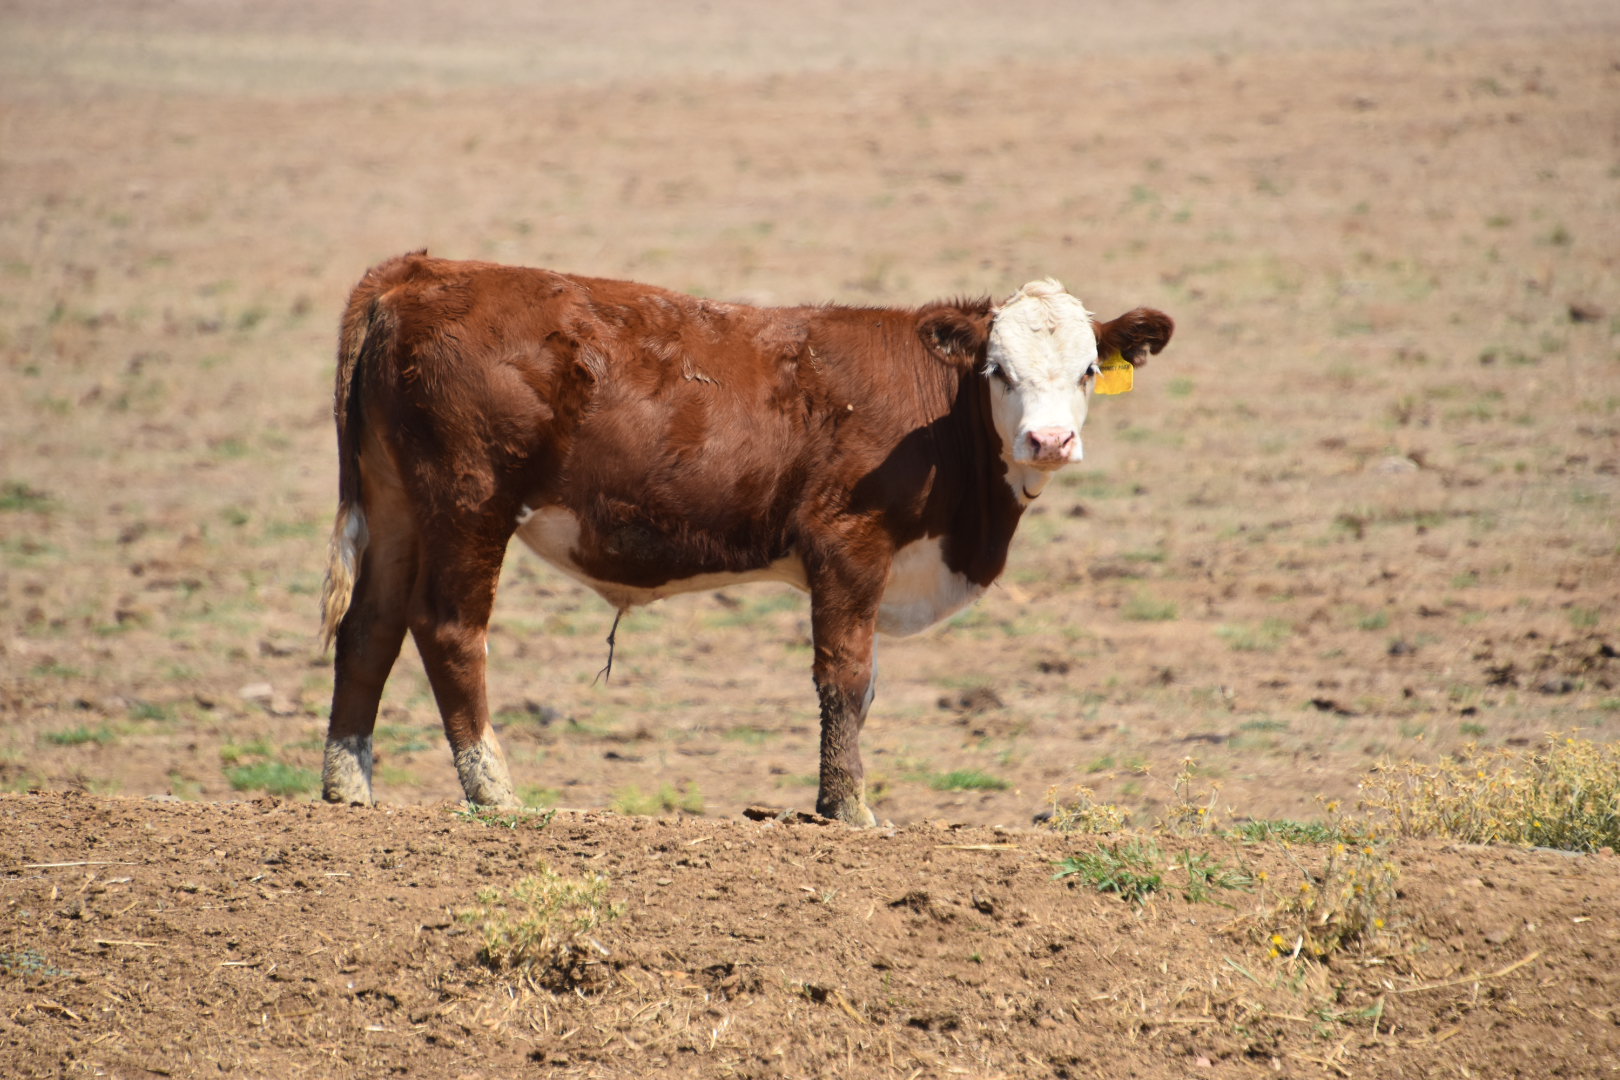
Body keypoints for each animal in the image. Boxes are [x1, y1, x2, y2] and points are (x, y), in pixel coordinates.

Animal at [318, 253, 1172, 825]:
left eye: (1089, 369)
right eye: (997, 370)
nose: (1050, 441)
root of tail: (417, 271)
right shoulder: (848, 544)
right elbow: (845, 678)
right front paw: (848, 809)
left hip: (394, 501)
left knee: (369, 628)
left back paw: (347, 786)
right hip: (469, 500)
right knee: (448, 629)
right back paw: (495, 792)